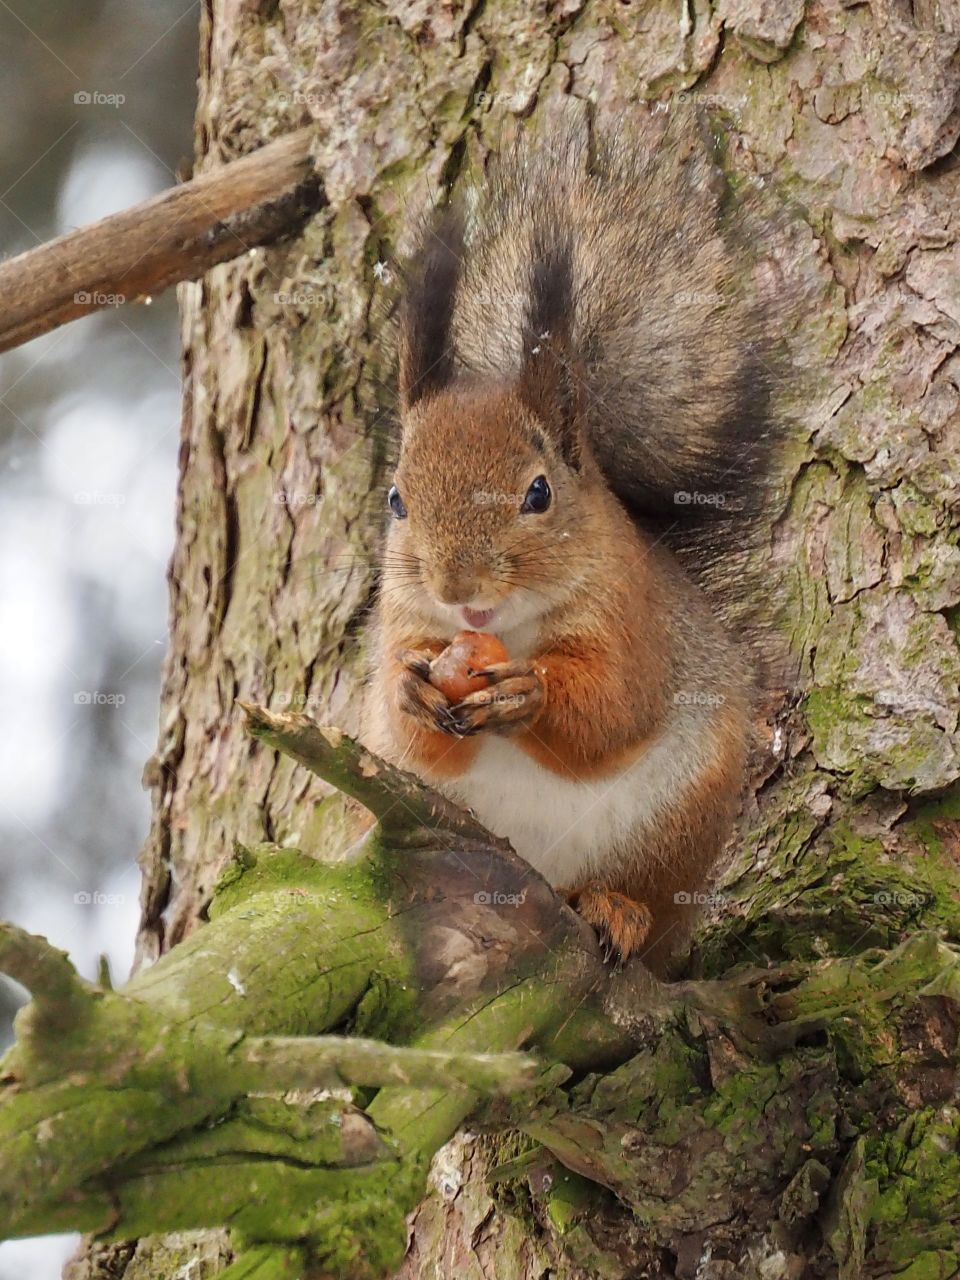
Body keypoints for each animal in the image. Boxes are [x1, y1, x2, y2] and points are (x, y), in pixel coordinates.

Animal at [364, 116, 785, 975]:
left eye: (539, 494)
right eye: (396, 499)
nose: (459, 588)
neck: (507, 628)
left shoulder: (631, 616)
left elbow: (613, 709)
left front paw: (530, 695)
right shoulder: (400, 622)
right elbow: (412, 732)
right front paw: (410, 691)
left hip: (675, 827)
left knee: (644, 907)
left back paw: (616, 910)